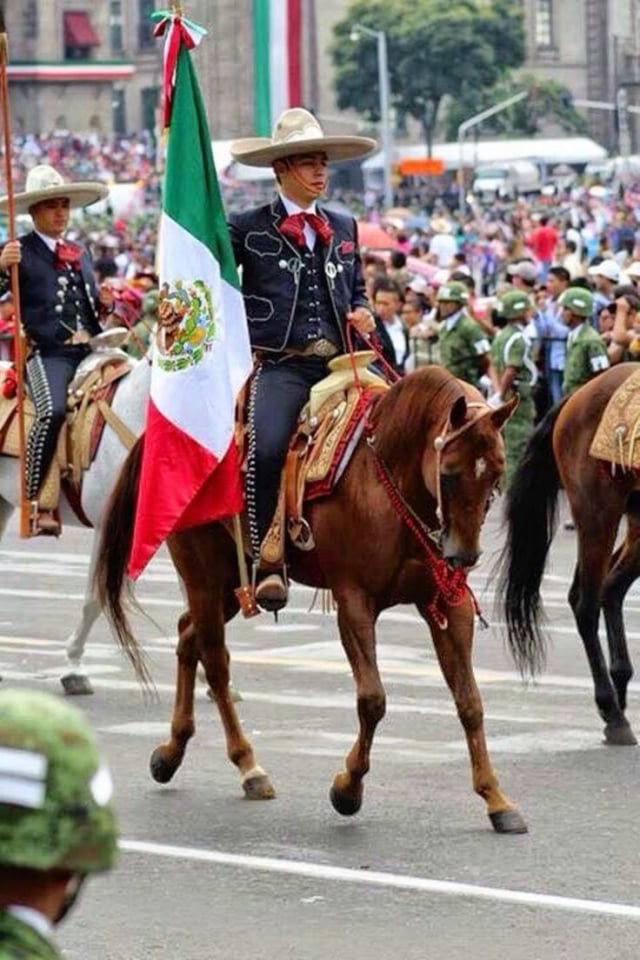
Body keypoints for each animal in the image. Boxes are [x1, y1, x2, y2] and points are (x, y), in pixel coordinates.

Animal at [95, 368, 528, 832]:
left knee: (187, 636)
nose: (463, 556)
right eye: (447, 473)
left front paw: (496, 798)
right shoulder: (354, 601)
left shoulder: (449, 605)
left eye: (497, 474)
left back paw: (171, 753)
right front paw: (348, 789)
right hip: (203, 575)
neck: (387, 476)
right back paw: (248, 767)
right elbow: (372, 700)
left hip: (229, 583)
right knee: (215, 661)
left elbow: (470, 702)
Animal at [498, 360, 640, 744]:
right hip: (596, 512)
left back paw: (619, 688)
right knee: (585, 601)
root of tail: (578, 394)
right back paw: (612, 711)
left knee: (610, 588)